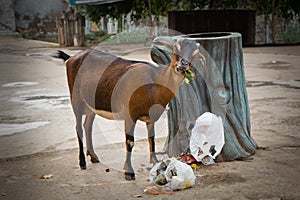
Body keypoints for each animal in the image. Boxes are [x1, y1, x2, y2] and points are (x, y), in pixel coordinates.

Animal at [53, 38, 204, 180]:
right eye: (175, 48)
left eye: (195, 54)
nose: (183, 65)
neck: (154, 83)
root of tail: (71, 59)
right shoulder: (129, 115)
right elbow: (129, 142)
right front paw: (129, 172)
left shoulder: (150, 118)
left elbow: (152, 138)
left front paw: (155, 162)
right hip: (76, 99)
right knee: (78, 127)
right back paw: (82, 162)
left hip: (91, 105)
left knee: (87, 125)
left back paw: (93, 157)